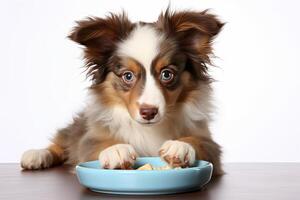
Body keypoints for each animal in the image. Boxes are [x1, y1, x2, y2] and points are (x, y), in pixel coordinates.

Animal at [19, 9, 224, 175]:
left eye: (167, 74)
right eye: (127, 76)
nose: (148, 112)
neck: (148, 129)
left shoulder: (210, 145)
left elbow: (199, 141)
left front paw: (180, 145)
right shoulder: (90, 139)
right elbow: (96, 144)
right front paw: (116, 150)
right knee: (65, 139)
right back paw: (36, 155)